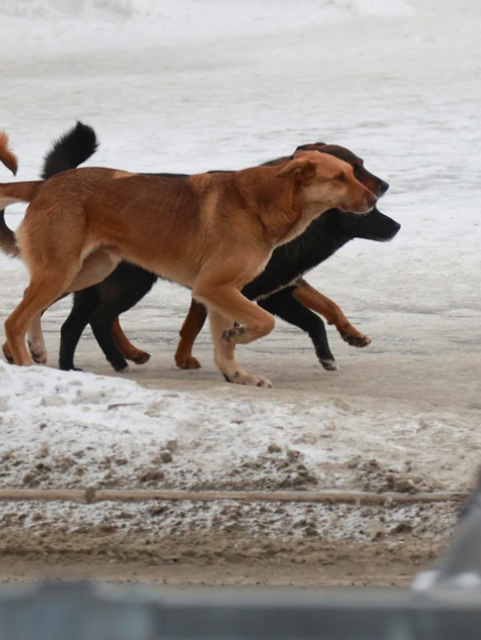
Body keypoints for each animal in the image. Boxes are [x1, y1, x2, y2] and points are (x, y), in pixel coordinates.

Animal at [0, 124, 398, 370]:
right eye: (342, 175)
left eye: (355, 171)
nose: (378, 194)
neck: (264, 203)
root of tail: (44, 185)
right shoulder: (218, 287)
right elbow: (265, 321)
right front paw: (236, 337)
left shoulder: (243, 289)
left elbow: (322, 307)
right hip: (73, 272)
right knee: (18, 319)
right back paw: (31, 359)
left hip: (86, 271)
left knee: (42, 309)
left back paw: (41, 350)